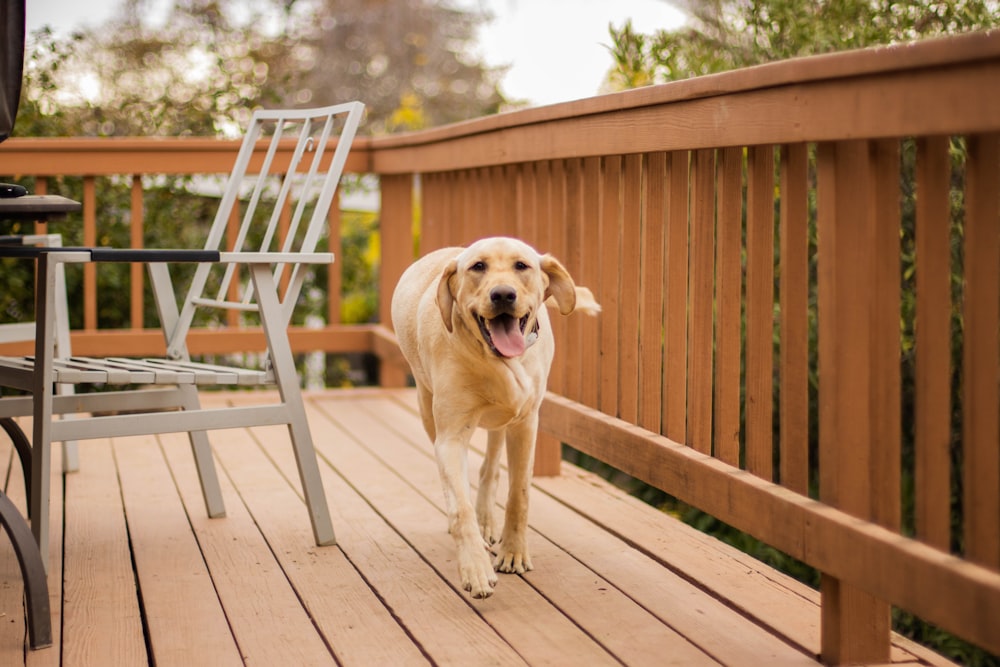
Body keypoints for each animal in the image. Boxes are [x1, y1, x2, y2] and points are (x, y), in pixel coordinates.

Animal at [386, 236, 596, 600]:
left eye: (521, 266)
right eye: (478, 267)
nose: (502, 294)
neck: (496, 361)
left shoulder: (526, 424)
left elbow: (519, 494)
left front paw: (513, 552)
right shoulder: (451, 437)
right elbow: (460, 506)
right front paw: (475, 568)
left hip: (505, 421)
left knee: (491, 466)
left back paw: (487, 517)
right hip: (427, 407)